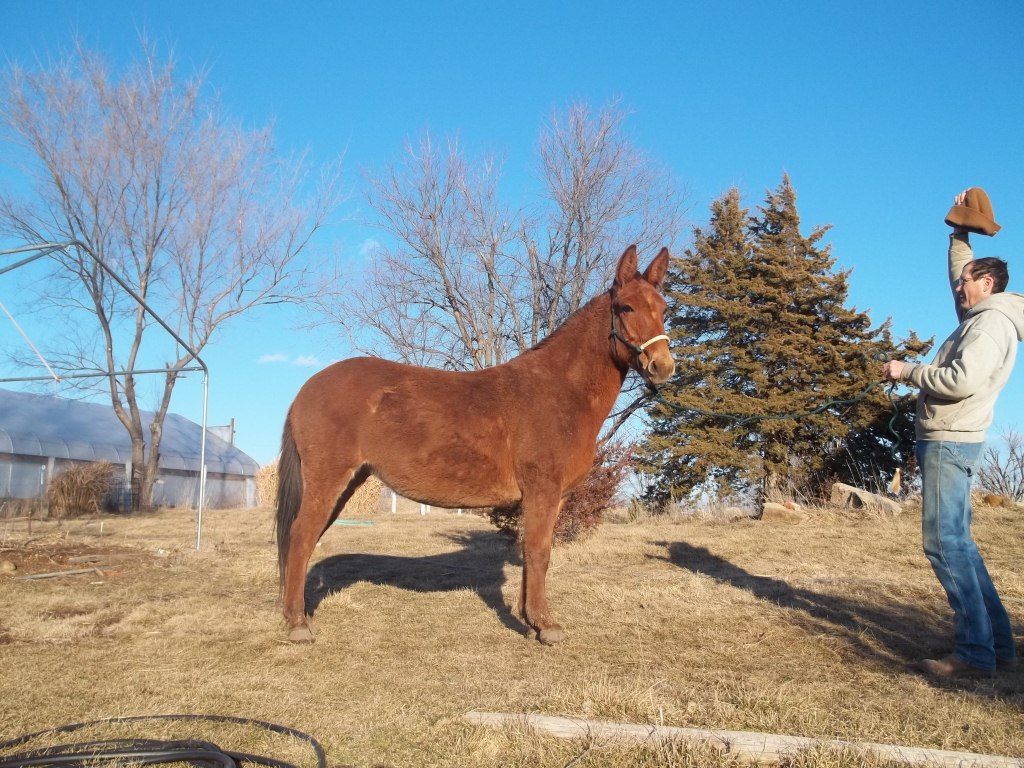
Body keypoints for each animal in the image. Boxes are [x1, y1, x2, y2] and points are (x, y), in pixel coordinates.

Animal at [275, 244, 675, 644]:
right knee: (301, 536)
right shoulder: (542, 489)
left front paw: (529, 621)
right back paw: (298, 625)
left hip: (347, 482)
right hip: (328, 479)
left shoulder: (554, 495)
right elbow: (539, 551)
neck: (558, 390)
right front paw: (545, 625)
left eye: (664, 308)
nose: (663, 366)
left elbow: (533, 552)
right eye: (625, 307)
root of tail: (307, 389)